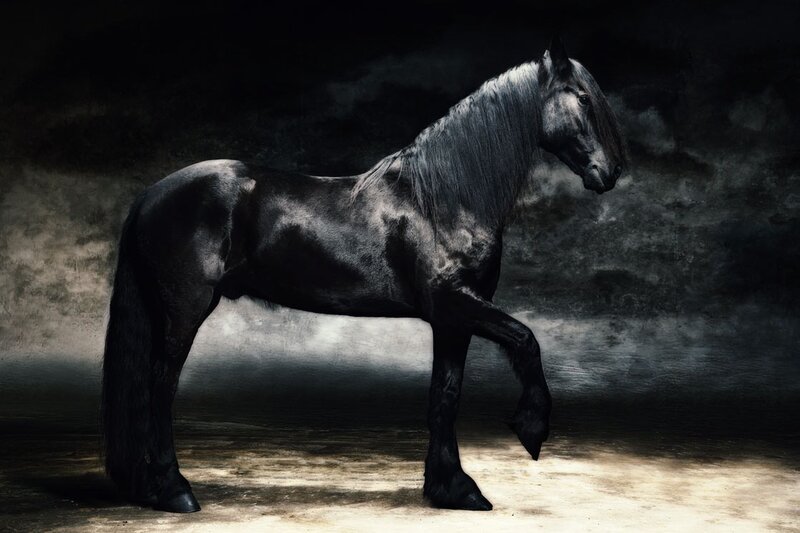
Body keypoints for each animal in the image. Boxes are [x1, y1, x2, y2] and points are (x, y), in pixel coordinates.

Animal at [101, 37, 627, 513]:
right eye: (582, 98)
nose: (611, 172)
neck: (443, 199)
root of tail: (152, 194)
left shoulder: (453, 321)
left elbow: (445, 396)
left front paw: (453, 489)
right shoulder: (456, 303)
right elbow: (527, 339)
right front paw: (530, 429)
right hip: (185, 308)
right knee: (160, 387)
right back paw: (174, 491)